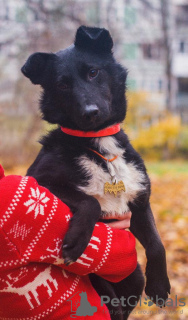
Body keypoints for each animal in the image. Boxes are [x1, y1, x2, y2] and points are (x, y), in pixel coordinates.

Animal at [21, 26, 170, 318]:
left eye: (93, 72)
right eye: (62, 84)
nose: (90, 113)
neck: (98, 142)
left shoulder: (138, 203)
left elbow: (157, 244)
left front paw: (160, 285)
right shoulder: (38, 181)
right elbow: (90, 201)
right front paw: (77, 240)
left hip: (135, 277)